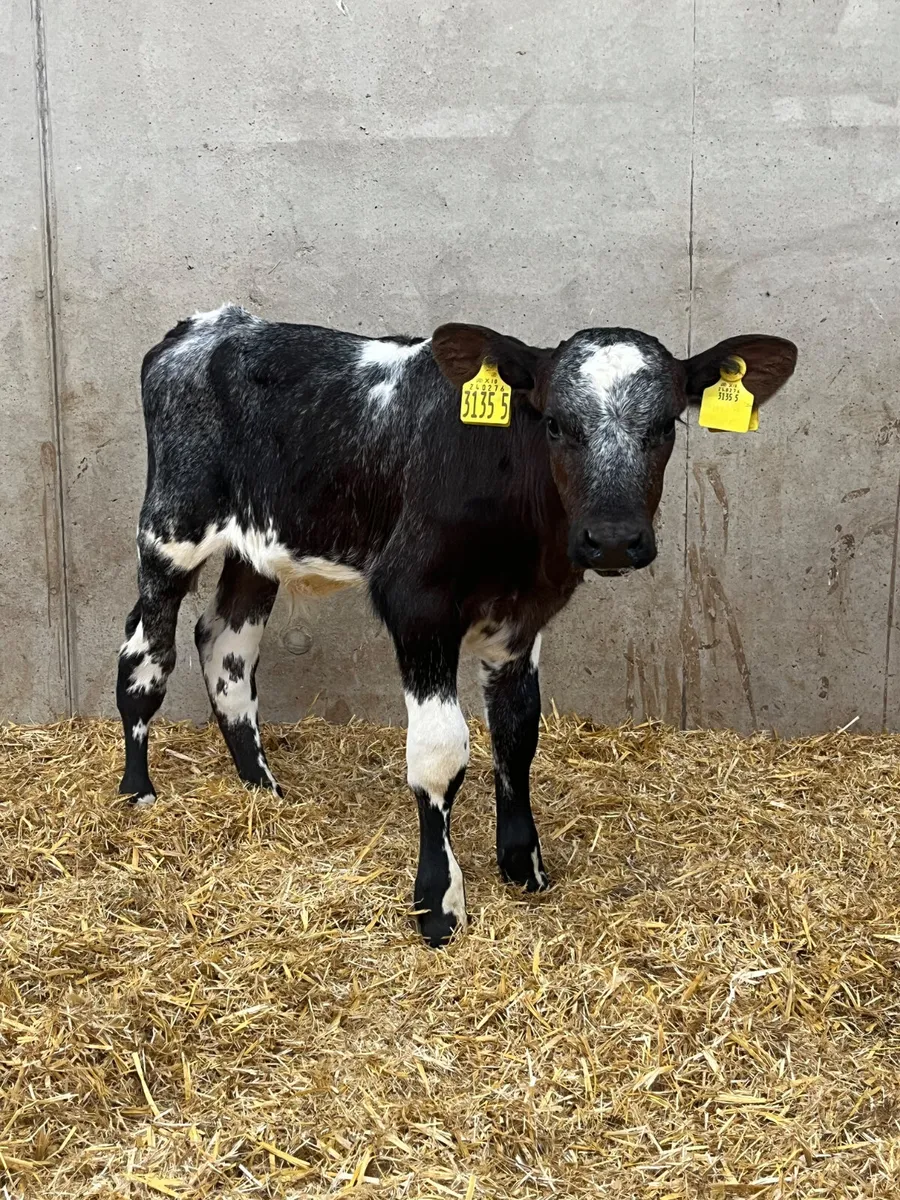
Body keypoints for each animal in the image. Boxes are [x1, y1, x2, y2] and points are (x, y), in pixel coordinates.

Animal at [116, 304, 797, 945]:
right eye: (555, 423)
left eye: (665, 425)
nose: (611, 540)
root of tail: (211, 324)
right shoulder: (416, 603)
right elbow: (440, 753)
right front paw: (439, 903)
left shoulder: (521, 618)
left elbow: (518, 734)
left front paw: (524, 866)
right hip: (170, 529)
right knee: (144, 653)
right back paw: (137, 790)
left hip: (255, 549)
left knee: (224, 645)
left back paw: (262, 788)